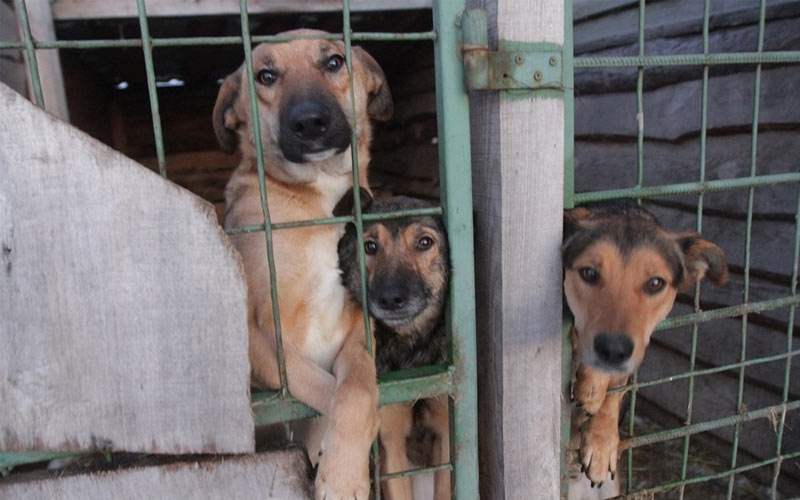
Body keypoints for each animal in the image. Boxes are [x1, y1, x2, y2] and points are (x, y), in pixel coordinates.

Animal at [211, 31, 390, 500]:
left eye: (334, 62)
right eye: (266, 75)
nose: (310, 122)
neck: (318, 201)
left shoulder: (357, 330)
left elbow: (357, 394)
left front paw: (344, 471)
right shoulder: (260, 340)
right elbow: (323, 390)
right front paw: (344, 475)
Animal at [336, 193, 454, 500]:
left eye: (424, 242)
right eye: (370, 246)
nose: (390, 298)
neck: (409, 348)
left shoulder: (446, 434)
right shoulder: (391, 443)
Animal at [564, 200, 724, 500]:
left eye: (655, 283)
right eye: (589, 273)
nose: (613, 349)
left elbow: (616, 388)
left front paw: (602, 442)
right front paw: (591, 387)